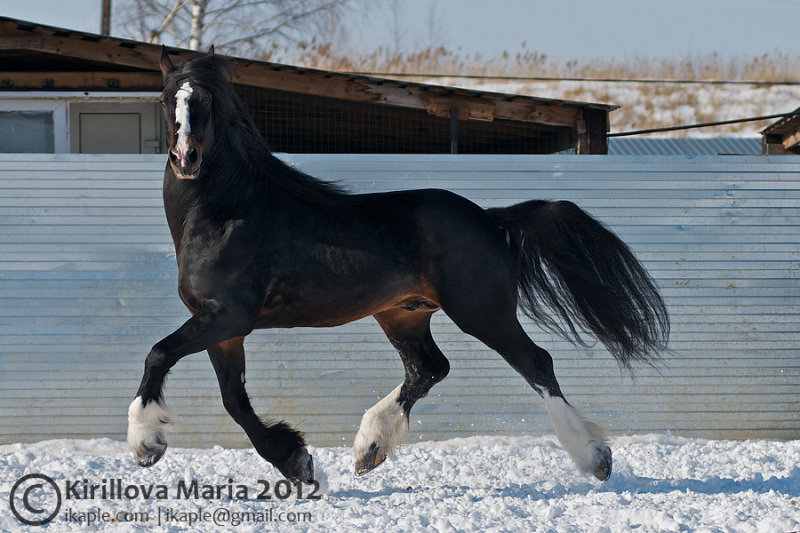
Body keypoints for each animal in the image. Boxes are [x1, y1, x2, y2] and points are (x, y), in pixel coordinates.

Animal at [130, 47, 668, 484]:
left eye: (207, 102)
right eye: (167, 98)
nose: (186, 157)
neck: (227, 214)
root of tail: (490, 219)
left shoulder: (227, 316)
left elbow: (158, 354)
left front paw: (145, 443)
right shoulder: (225, 329)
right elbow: (234, 400)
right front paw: (296, 462)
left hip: (482, 312)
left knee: (536, 364)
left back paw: (595, 458)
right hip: (403, 314)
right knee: (428, 368)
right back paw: (369, 447)